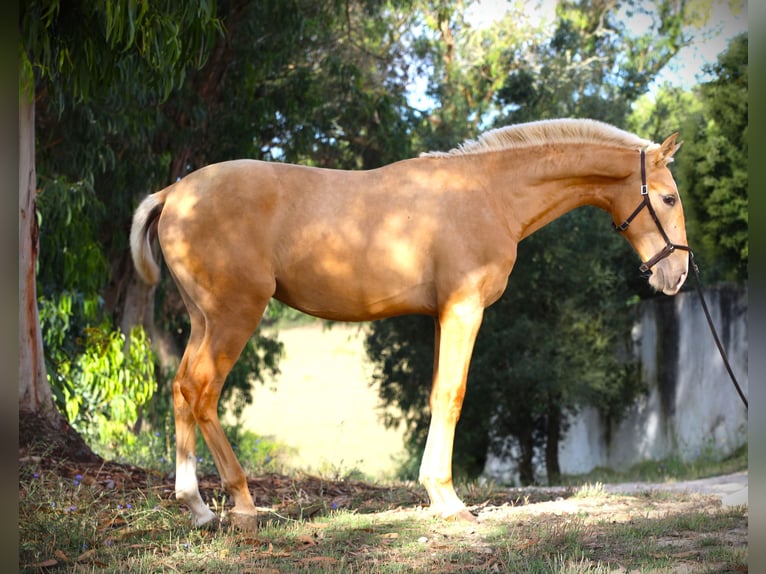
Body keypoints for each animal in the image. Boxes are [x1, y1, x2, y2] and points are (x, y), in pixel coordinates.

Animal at [130, 118, 688, 532]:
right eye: (668, 198)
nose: (678, 273)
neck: (489, 193)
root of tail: (174, 192)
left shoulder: (443, 316)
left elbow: (437, 395)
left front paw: (437, 496)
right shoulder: (465, 310)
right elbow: (453, 396)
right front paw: (451, 502)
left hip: (204, 320)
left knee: (181, 388)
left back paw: (198, 507)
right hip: (235, 315)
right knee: (202, 391)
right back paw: (242, 505)